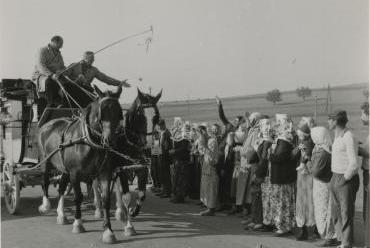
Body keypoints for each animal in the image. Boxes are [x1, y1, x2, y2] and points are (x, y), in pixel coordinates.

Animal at [37, 85, 137, 242]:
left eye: (119, 113)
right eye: (102, 113)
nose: (110, 140)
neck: (90, 141)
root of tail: (47, 124)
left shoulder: (105, 172)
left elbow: (106, 199)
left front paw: (108, 231)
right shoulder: (75, 173)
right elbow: (78, 197)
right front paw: (78, 224)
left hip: (64, 169)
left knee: (61, 187)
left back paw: (61, 215)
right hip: (45, 162)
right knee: (44, 181)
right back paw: (46, 205)